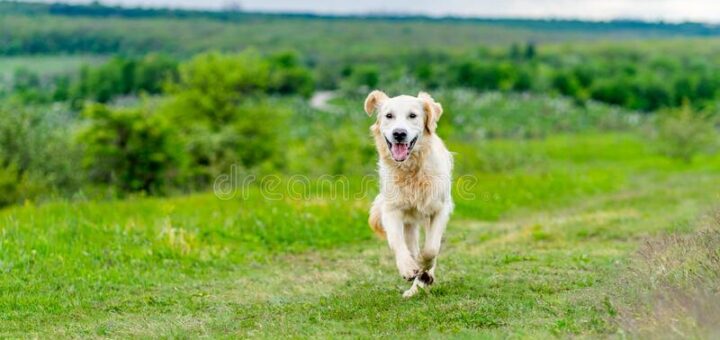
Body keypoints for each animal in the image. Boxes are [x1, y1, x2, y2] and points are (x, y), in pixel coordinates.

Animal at [366, 90, 450, 298]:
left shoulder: (441, 208)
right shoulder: (391, 209)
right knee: (410, 245)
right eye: (389, 116)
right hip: (409, 223)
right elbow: (397, 242)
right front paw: (408, 268)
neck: (411, 169)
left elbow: (431, 249)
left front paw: (424, 272)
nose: (399, 133)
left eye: (413, 115)